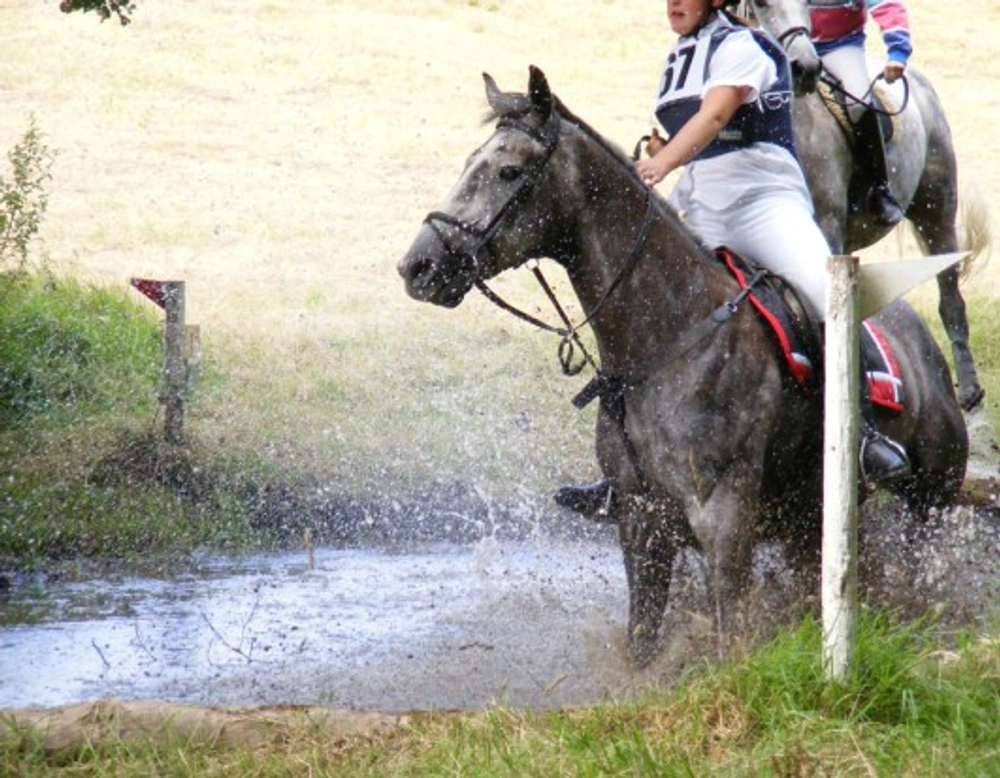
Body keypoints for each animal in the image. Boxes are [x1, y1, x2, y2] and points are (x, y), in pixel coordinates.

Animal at [397, 66, 968, 666]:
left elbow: (727, 633)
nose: (418, 266)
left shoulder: (723, 518)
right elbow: (642, 640)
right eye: (469, 164)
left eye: (508, 170)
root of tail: (919, 334)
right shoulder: (640, 522)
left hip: (931, 498)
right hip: (809, 519)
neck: (666, 337)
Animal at [736, 0, 990, 413]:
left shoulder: (824, 226)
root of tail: (920, 84)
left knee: (951, 298)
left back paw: (969, 391)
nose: (804, 68)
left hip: (936, 212)